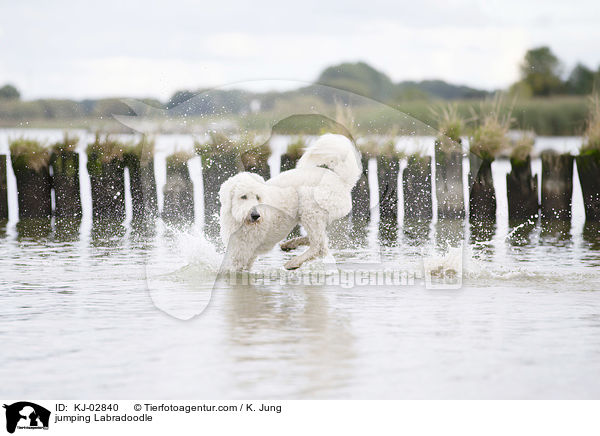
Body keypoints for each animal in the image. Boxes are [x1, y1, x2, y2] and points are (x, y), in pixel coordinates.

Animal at [219, 134, 360, 270]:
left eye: (258, 197)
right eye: (243, 196)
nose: (256, 215)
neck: (240, 221)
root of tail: (342, 181)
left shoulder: (241, 252)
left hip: (310, 207)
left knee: (319, 246)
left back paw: (293, 262)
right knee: (319, 241)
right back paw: (290, 244)